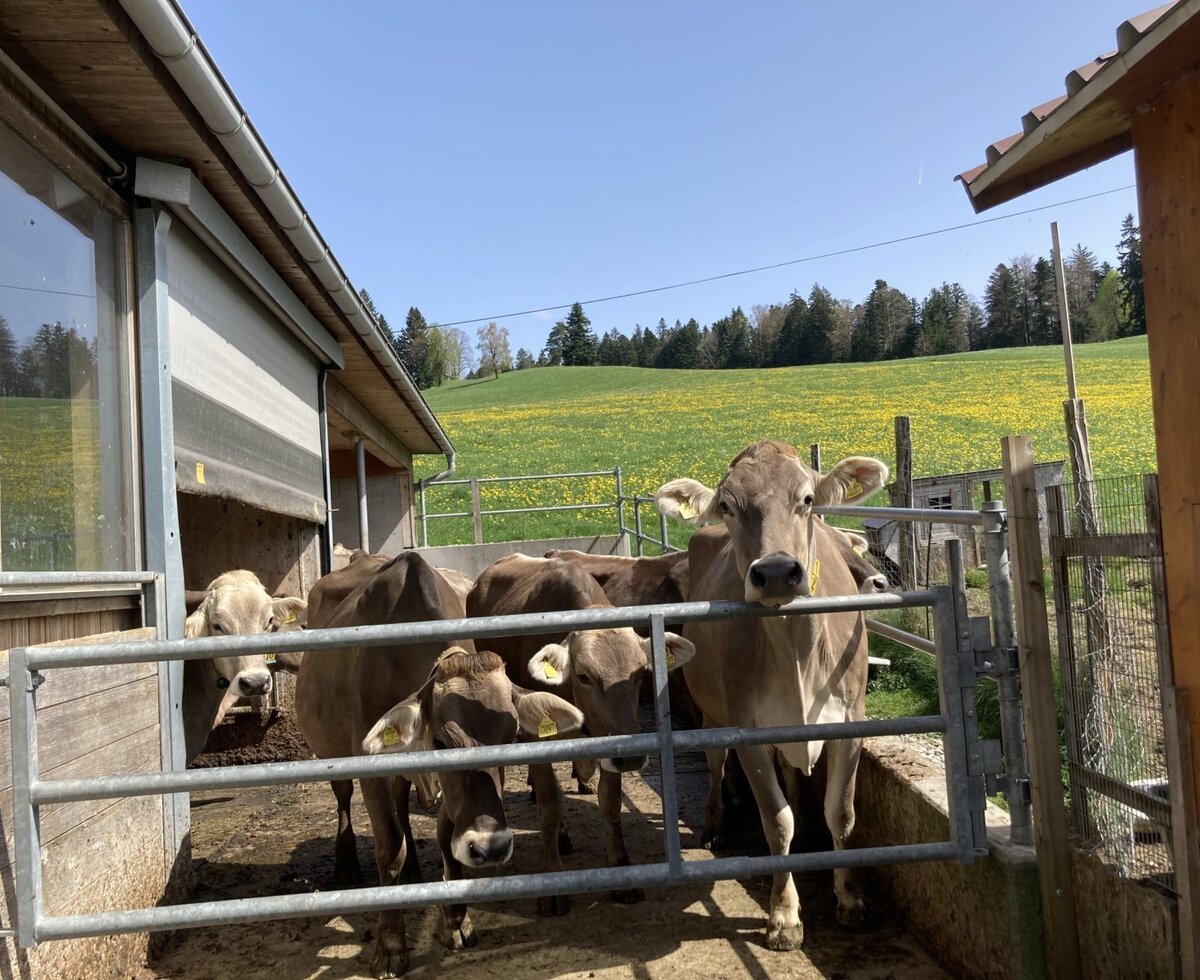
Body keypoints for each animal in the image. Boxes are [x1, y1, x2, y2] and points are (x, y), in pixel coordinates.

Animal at [295, 552, 582, 978]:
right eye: (443, 742)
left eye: (513, 736)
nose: (491, 847)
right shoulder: (370, 766)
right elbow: (388, 848)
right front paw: (391, 945)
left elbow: (445, 835)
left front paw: (457, 920)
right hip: (333, 755)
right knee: (344, 799)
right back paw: (346, 863)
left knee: (402, 804)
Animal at [467, 553, 694, 911]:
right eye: (585, 676)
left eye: (640, 674)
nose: (632, 758)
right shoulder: (536, 739)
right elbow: (549, 805)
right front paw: (552, 883)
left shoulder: (611, 743)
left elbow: (611, 802)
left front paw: (622, 870)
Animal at [656, 440, 888, 951]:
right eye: (727, 505)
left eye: (807, 500)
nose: (778, 572)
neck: (796, 652)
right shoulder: (749, 733)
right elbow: (776, 822)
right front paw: (784, 915)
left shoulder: (850, 724)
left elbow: (841, 813)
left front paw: (851, 898)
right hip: (712, 716)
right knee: (716, 763)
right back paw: (716, 822)